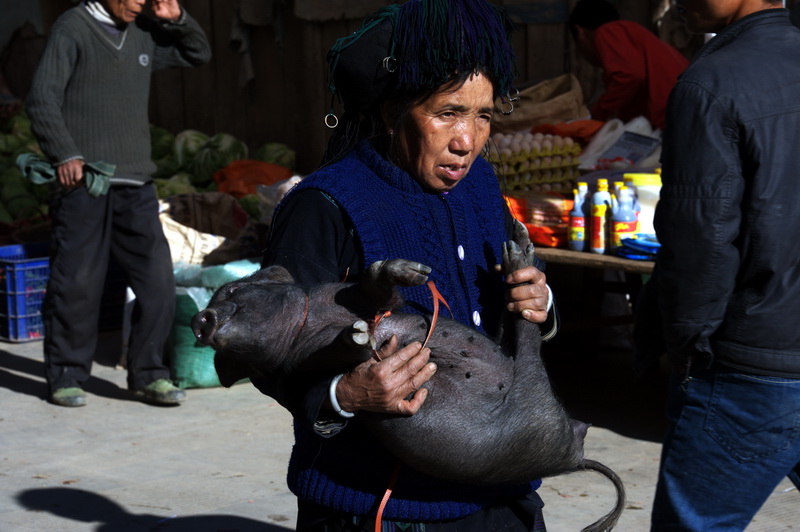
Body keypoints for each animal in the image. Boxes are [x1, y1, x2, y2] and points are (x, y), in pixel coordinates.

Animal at [192, 220, 625, 531]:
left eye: (231, 293)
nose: (201, 320)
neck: (313, 319)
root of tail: (573, 450)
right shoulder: (301, 362)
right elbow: (336, 355)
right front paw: (362, 337)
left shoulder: (349, 295)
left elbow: (381, 291)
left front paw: (409, 274)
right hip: (530, 402)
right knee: (527, 338)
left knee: (519, 321)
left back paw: (517, 251)